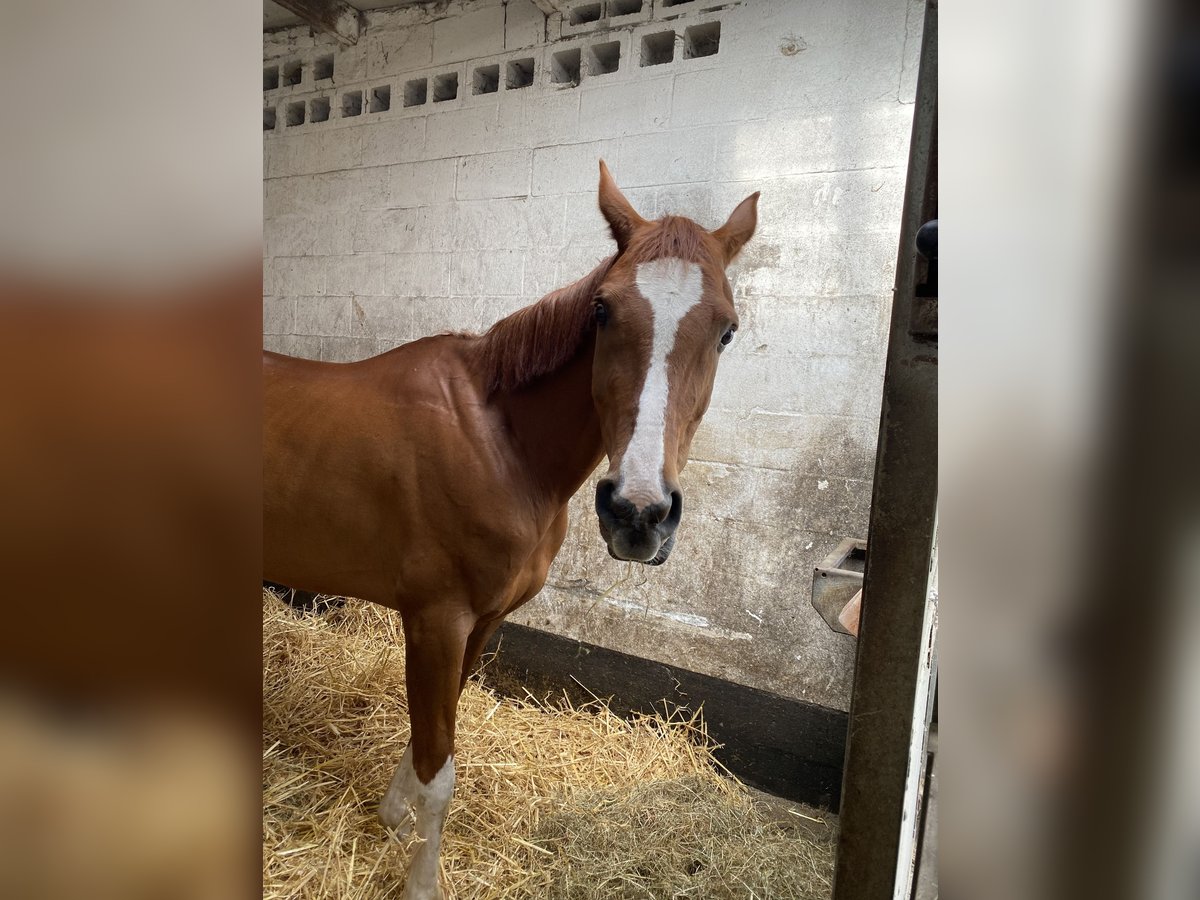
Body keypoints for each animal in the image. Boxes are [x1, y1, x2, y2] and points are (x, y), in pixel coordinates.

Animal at [265, 164, 758, 900]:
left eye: (726, 330)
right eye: (603, 310)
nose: (638, 513)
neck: (499, 442)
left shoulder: (483, 622)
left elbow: (431, 735)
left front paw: (390, 817)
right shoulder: (437, 621)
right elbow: (440, 768)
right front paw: (420, 881)